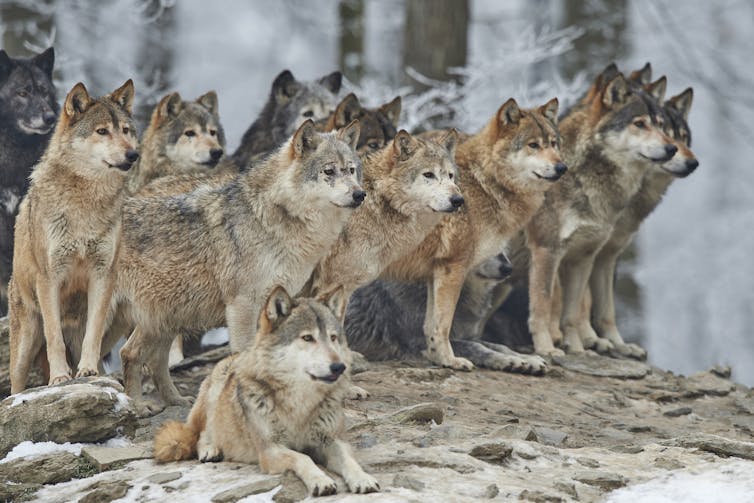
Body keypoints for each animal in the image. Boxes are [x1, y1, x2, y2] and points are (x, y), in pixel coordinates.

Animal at [9, 80, 138, 393]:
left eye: (126, 130)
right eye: (102, 131)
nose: (133, 155)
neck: (85, 203)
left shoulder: (103, 274)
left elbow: (94, 333)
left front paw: (88, 371)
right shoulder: (50, 278)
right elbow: (54, 337)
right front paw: (59, 378)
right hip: (24, 345)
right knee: (16, 386)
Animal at [115, 119, 364, 414]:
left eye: (351, 170)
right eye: (329, 171)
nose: (360, 194)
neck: (273, 217)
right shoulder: (242, 304)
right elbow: (244, 354)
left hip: (166, 316)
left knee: (138, 355)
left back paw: (172, 401)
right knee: (128, 354)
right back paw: (136, 406)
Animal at [153, 286, 379, 497]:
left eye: (333, 338)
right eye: (307, 338)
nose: (339, 367)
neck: (300, 404)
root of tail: (232, 355)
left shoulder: (332, 440)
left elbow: (349, 460)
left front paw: (363, 479)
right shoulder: (270, 450)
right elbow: (303, 457)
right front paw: (321, 481)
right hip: (214, 393)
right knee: (201, 433)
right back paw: (210, 450)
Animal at [366, 98, 565, 371]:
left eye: (553, 144)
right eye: (533, 145)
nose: (562, 167)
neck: (485, 183)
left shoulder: (436, 271)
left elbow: (433, 326)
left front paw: (439, 359)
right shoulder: (454, 267)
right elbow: (444, 325)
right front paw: (451, 360)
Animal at [525, 66, 678, 357]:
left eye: (662, 126)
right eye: (639, 123)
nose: (672, 148)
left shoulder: (589, 256)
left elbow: (580, 312)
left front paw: (581, 349)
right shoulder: (547, 251)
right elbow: (543, 305)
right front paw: (546, 349)